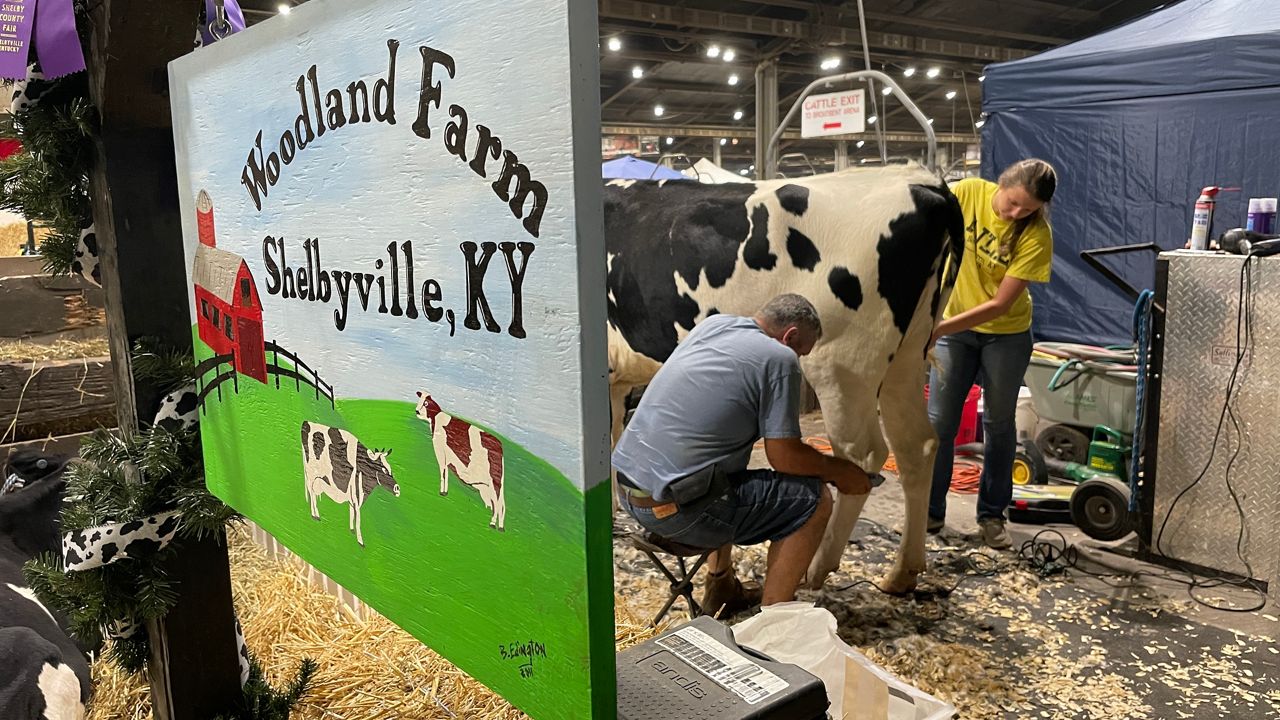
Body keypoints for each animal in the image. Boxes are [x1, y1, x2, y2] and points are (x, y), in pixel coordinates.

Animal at [414, 389, 504, 530]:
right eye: (419, 400)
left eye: (426, 403)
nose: (417, 411)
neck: (436, 420)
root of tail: (499, 446)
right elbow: (445, 473)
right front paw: (445, 492)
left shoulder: (441, 453)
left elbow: (443, 473)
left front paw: (442, 492)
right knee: (501, 504)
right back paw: (499, 526)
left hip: (493, 482)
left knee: (498, 503)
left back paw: (493, 523)